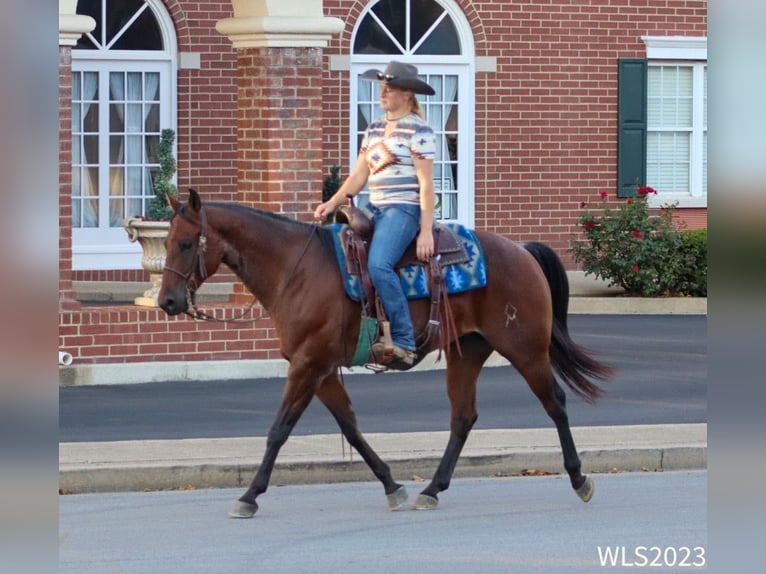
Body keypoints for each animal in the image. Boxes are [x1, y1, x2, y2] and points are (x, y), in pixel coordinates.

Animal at [159, 191, 616, 520]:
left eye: (186, 243)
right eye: (163, 241)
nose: (166, 301)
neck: (296, 270)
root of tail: (521, 250)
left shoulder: (309, 366)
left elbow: (279, 430)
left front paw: (250, 495)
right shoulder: (320, 369)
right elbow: (351, 429)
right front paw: (392, 486)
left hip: (525, 349)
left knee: (555, 403)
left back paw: (579, 479)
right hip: (467, 353)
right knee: (463, 417)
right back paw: (432, 490)